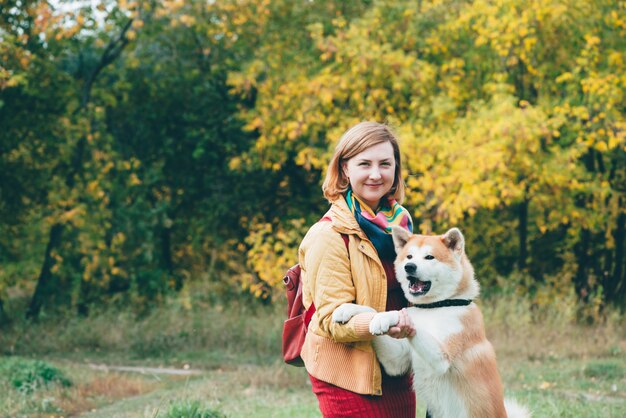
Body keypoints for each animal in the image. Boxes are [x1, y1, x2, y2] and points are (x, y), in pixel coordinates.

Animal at [332, 229, 528, 418]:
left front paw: (386, 317)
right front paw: (349, 309)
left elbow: (401, 316)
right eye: (409, 257)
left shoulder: (442, 357)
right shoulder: (396, 361)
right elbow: (372, 310)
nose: (409, 266)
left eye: (429, 257)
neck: (436, 306)